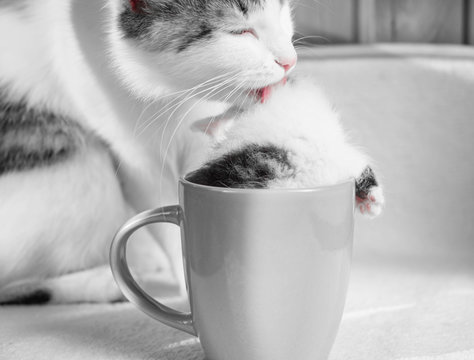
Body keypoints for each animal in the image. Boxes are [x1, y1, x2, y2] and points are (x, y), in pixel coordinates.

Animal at [0, 0, 296, 304]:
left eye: (281, 9)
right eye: (239, 31)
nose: (290, 60)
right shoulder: (135, 154)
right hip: (82, 176)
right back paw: (105, 282)